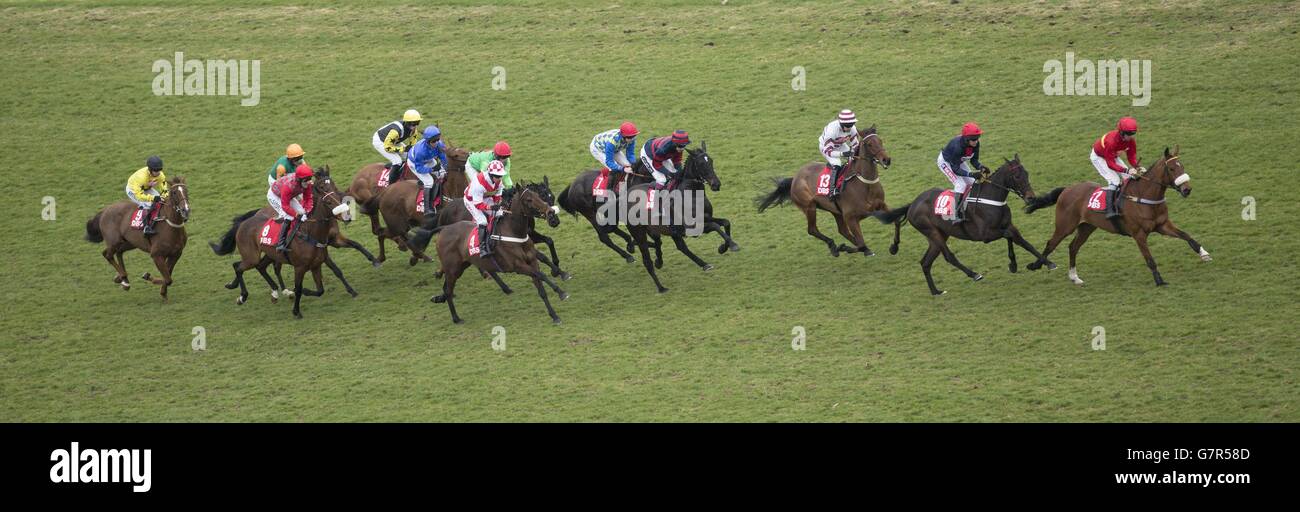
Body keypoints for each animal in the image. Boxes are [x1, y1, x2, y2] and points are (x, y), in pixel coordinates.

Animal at [428, 185, 566, 326]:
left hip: (463, 265)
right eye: (529, 200)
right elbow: (541, 274)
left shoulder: (531, 261)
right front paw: (560, 291)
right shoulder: (518, 266)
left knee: (451, 285)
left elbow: (541, 287)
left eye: (539, 196)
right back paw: (456, 318)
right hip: (453, 268)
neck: (514, 231)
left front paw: (554, 315)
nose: (552, 215)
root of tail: (443, 229)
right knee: (448, 289)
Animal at [754, 123, 894, 258]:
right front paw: (848, 248)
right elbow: (860, 241)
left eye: (880, 140)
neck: (865, 184)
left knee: (843, 231)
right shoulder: (851, 217)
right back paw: (834, 246)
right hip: (809, 207)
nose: (886, 159)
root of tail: (794, 178)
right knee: (812, 230)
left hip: (835, 210)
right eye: (869, 144)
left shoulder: (881, 206)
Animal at [868, 153, 1050, 293]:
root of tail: (913, 204)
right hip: (932, 232)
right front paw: (1014, 264)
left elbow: (1022, 241)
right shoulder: (985, 235)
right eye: (1017, 176)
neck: (991, 198)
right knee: (949, 257)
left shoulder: (1008, 225)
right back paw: (974, 274)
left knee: (925, 263)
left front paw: (1044, 263)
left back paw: (935, 292)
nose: (1031, 198)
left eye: (1027, 173)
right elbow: (1009, 235)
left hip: (938, 236)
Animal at [1024, 146, 1206, 285]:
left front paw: (1204, 253)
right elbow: (1150, 259)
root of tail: (1066, 189)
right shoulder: (1139, 234)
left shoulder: (1162, 225)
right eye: (1172, 168)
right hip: (1065, 226)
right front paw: (1159, 280)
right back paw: (1036, 265)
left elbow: (1187, 236)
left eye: (1182, 166)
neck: (1144, 196)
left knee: (1073, 247)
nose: (1187, 189)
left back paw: (1075, 277)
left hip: (1087, 227)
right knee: (1051, 244)